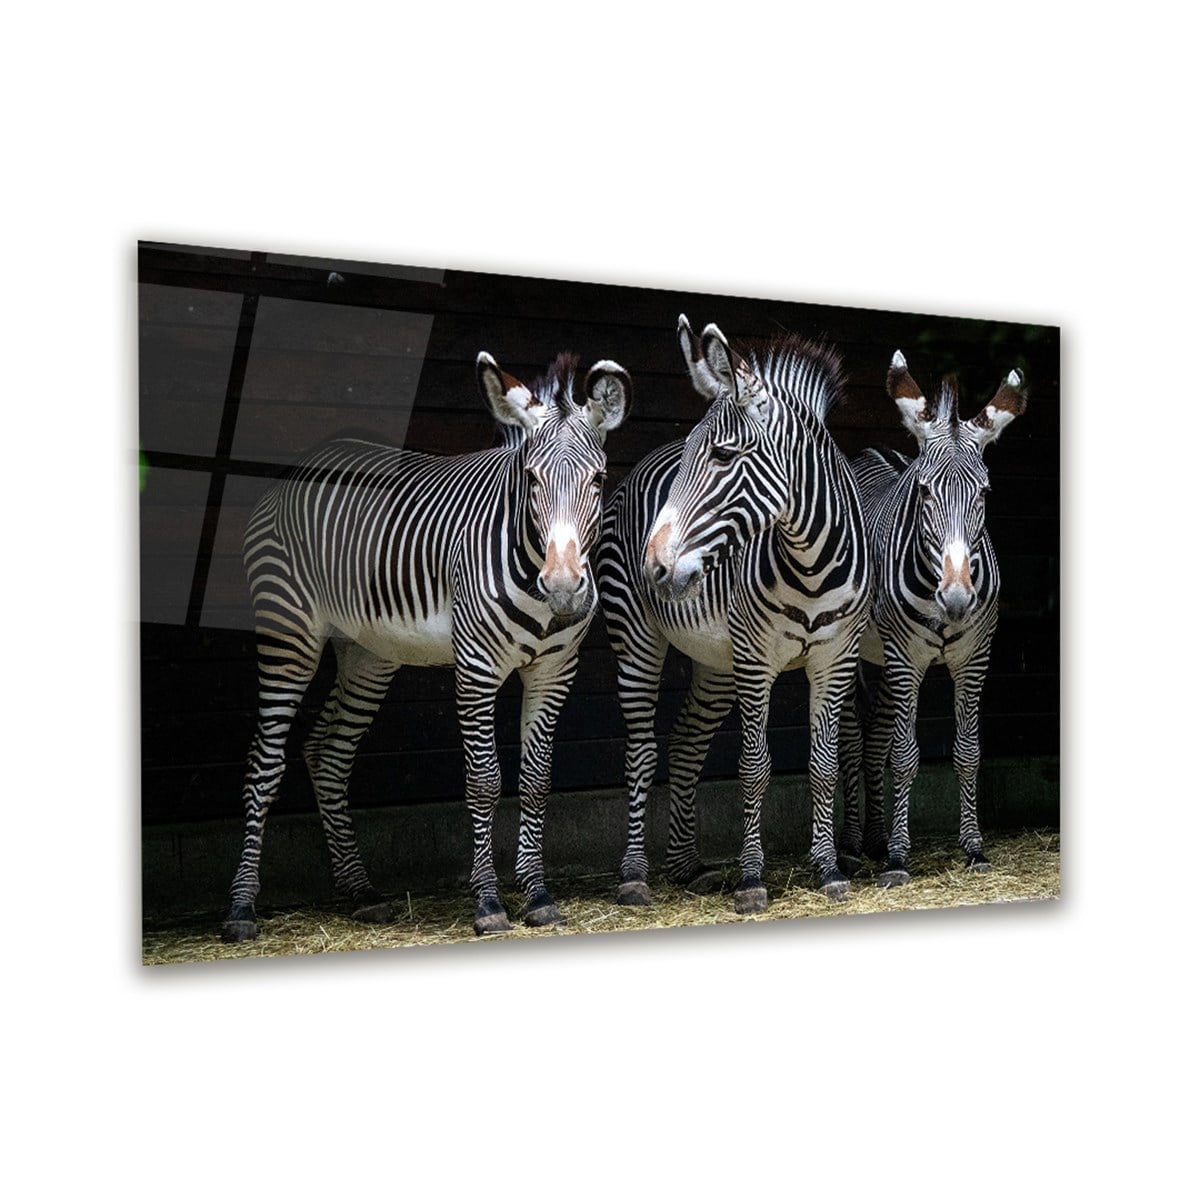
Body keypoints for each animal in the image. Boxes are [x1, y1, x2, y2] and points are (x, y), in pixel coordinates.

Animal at [221, 350, 631, 941]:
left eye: (598, 479)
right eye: (531, 479)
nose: (561, 587)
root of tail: (304, 465)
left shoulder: (555, 671)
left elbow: (536, 780)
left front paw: (537, 895)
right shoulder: (476, 667)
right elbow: (484, 780)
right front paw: (488, 903)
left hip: (368, 653)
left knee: (328, 753)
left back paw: (362, 893)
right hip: (288, 631)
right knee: (264, 763)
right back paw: (241, 910)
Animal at [594, 315, 871, 914]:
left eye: (722, 456)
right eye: (693, 457)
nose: (655, 566)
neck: (811, 561)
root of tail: (643, 462)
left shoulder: (835, 659)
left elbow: (822, 764)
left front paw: (828, 870)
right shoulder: (755, 661)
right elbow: (754, 766)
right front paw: (751, 879)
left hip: (715, 662)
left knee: (685, 742)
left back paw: (688, 866)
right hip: (640, 641)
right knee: (641, 752)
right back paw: (635, 876)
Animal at [838, 350, 1027, 886]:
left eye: (985, 493)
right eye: (923, 492)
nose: (957, 599)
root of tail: (871, 453)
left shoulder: (974, 659)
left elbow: (968, 752)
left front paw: (974, 850)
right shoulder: (907, 659)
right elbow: (904, 757)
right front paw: (900, 861)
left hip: (882, 661)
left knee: (875, 736)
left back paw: (876, 840)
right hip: (854, 651)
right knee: (854, 739)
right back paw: (855, 848)